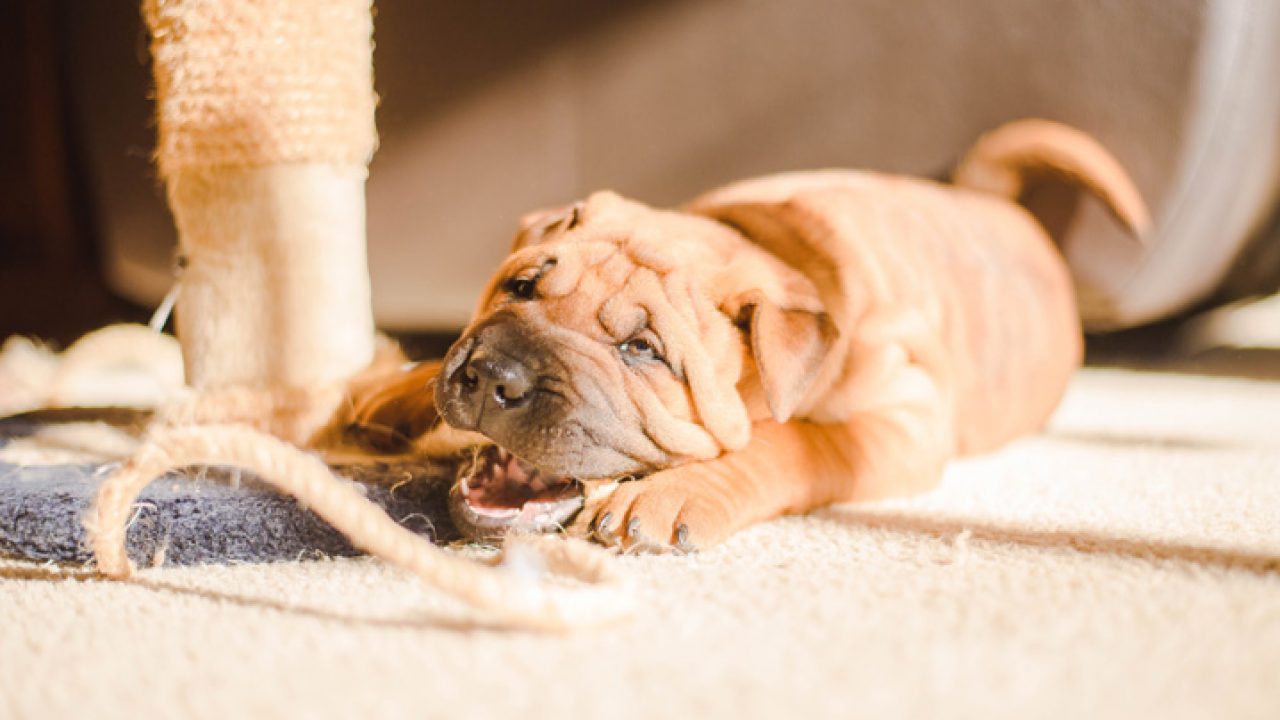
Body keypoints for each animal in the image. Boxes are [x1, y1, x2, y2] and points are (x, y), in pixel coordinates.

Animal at [340, 117, 1152, 548]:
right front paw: (392, 390)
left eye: (641, 351)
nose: (493, 377)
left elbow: (796, 443)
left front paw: (668, 498)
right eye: (521, 288)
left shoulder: (904, 417)